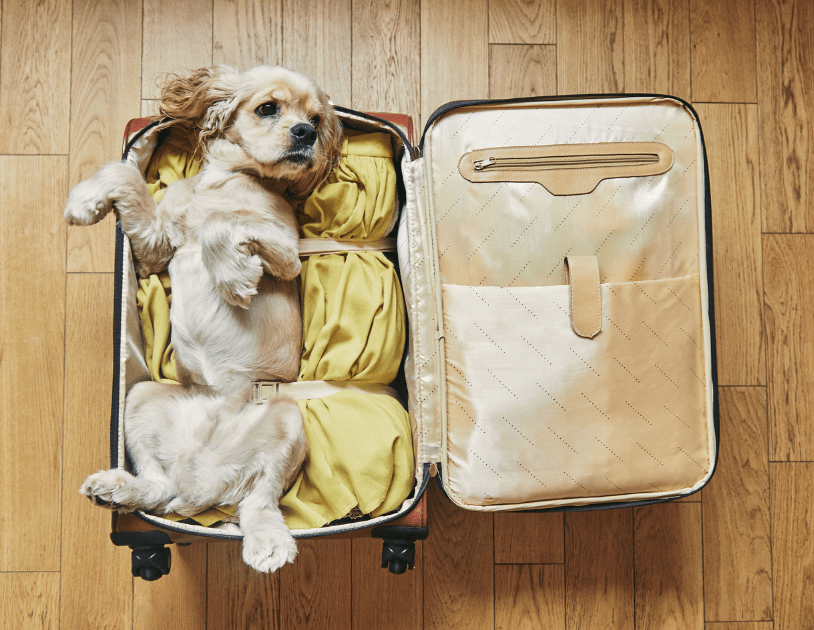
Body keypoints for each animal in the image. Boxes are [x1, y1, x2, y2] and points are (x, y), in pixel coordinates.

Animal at [64, 66, 342, 576]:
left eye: (316, 118)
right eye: (268, 107)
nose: (306, 134)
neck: (225, 180)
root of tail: (202, 475)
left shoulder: (286, 256)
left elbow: (221, 227)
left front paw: (233, 276)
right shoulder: (154, 250)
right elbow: (123, 173)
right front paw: (85, 201)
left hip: (285, 417)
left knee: (258, 502)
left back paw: (268, 544)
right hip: (140, 397)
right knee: (158, 486)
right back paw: (116, 487)